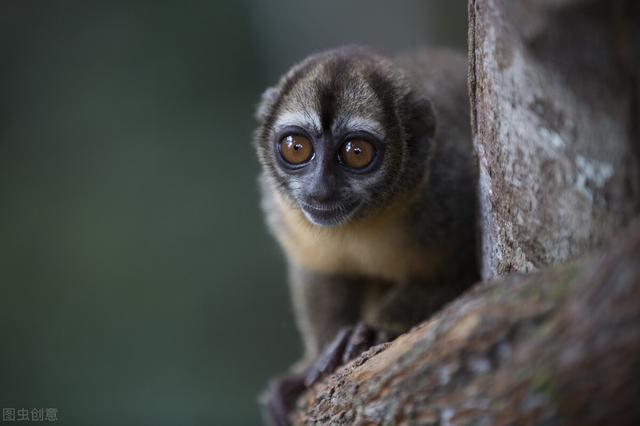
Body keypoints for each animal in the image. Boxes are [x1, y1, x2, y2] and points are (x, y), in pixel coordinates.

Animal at [252, 45, 478, 424]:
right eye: (296, 147)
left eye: (356, 153)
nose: (320, 190)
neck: (366, 219)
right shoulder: (283, 212)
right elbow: (322, 272)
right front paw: (311, 364)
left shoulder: (453, 192)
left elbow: (465, 274)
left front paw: (371, 330)